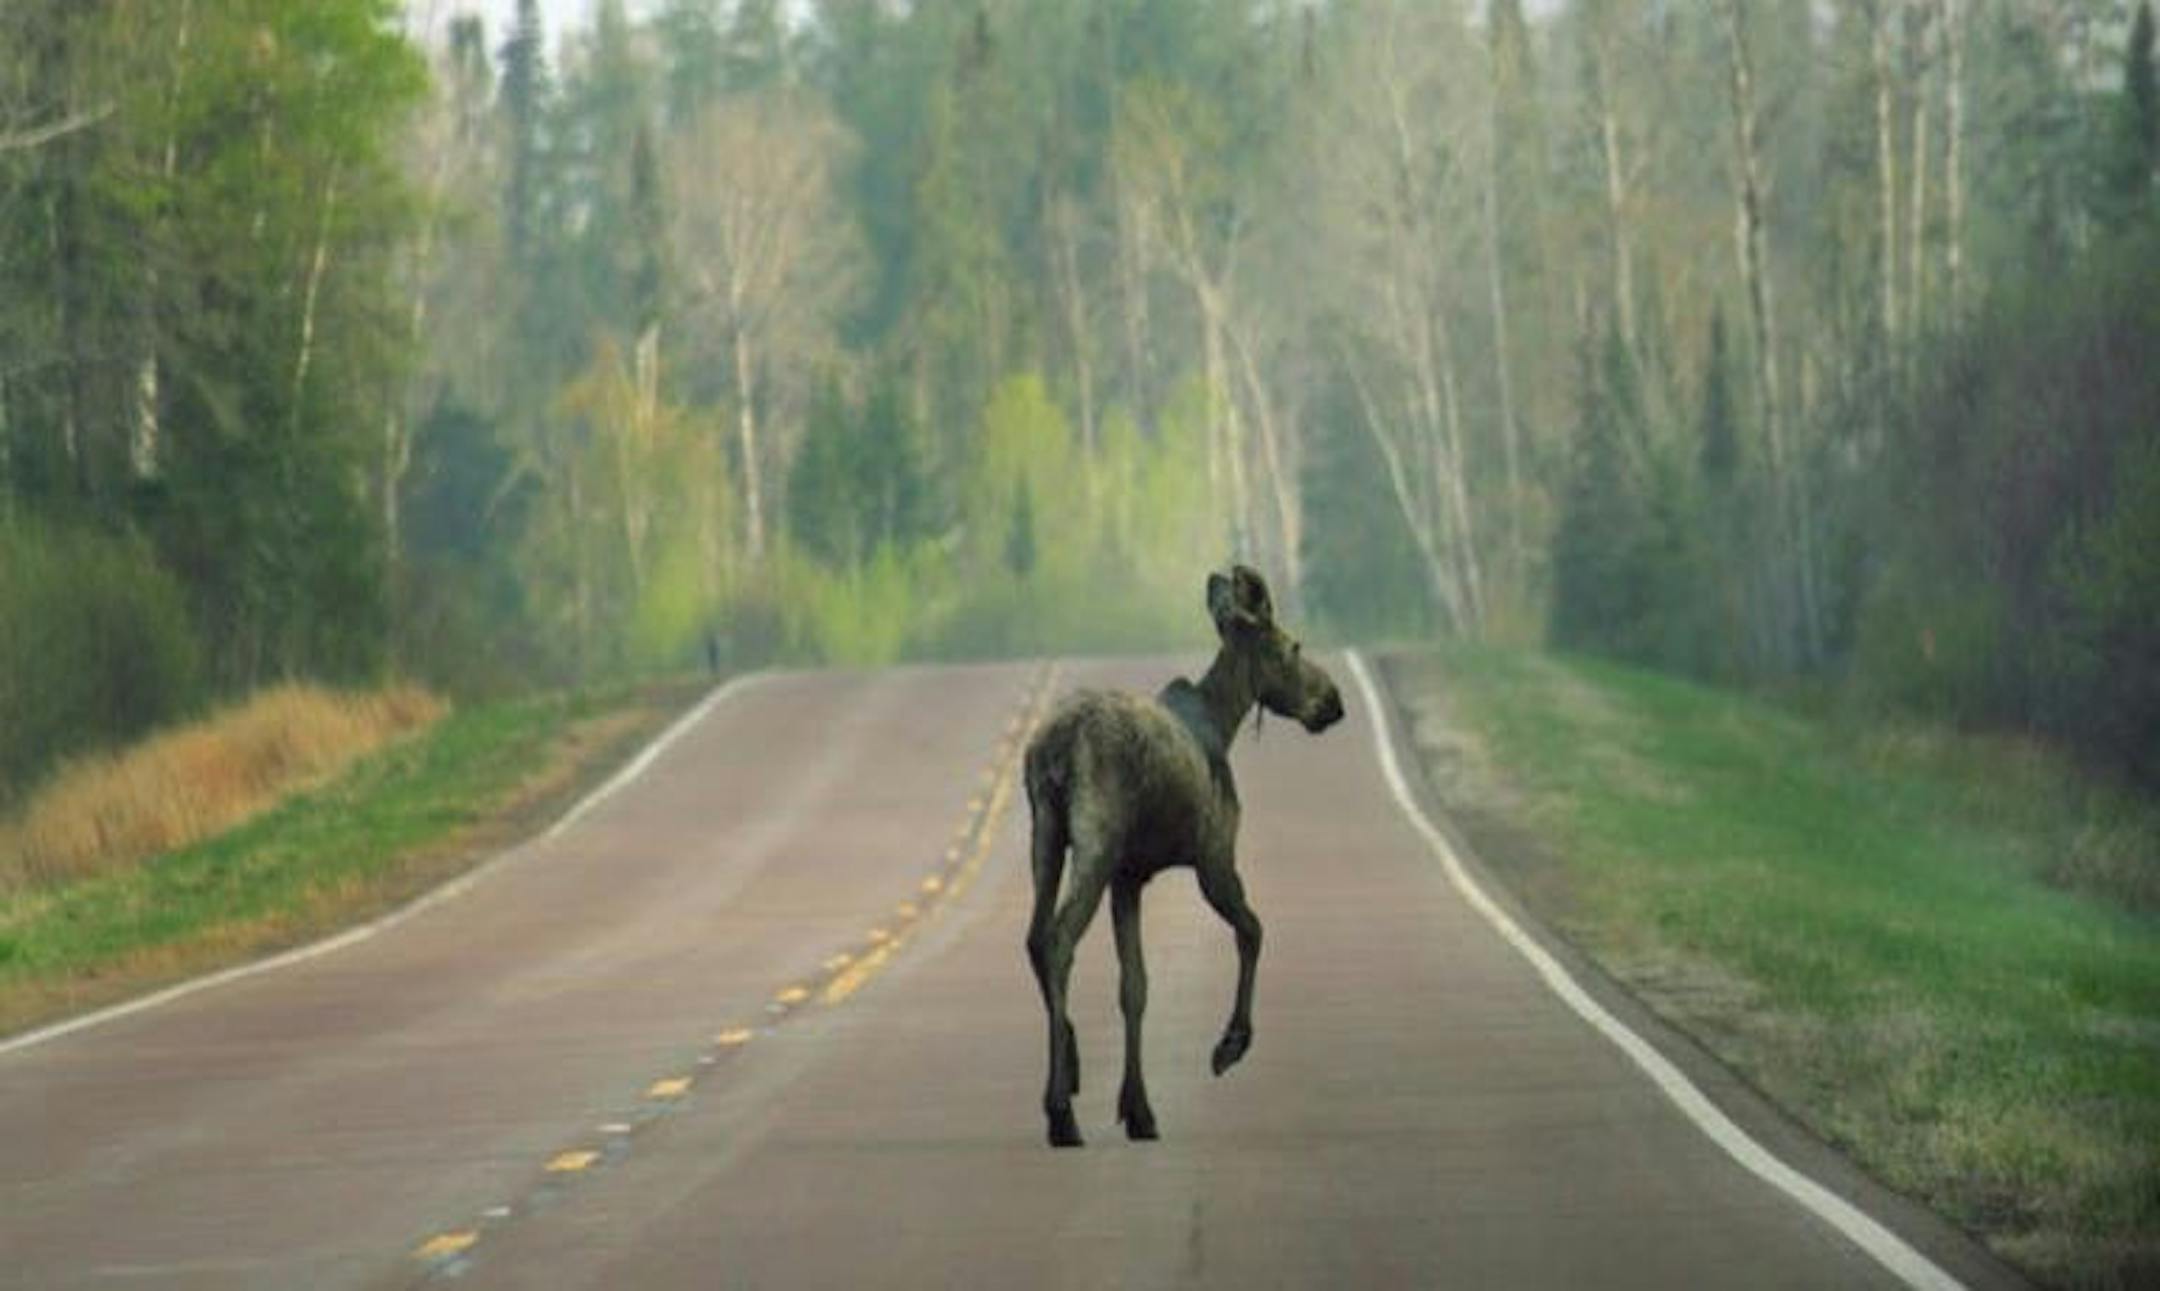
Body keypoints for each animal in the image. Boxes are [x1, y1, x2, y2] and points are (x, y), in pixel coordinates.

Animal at [1022, 565, 1345, 1148]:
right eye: (1292, 646)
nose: (1334, 701)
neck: (1224, 718)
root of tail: (1054, 749)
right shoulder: (1214, 859)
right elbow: (1253, 930)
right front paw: (1230, 1044)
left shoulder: (1130, 877)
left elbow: (1135, 986)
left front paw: (1138, 1109)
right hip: (1095, 842)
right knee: (1058, 939)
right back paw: (1060, 1111)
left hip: (1046, 834)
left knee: (1035, 937)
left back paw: (1072, 1069)